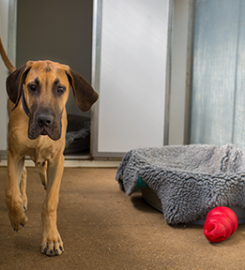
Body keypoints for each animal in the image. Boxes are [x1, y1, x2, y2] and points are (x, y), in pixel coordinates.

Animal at [1, 37, 98, 256]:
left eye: (60, 89)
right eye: (32, 87)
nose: (44, 121)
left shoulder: (58, 160)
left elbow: (50, 202)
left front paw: (51, 239)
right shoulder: (14, 154)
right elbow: (11, 192)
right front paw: (17, 217)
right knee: (23, 175)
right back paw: (23, 201)